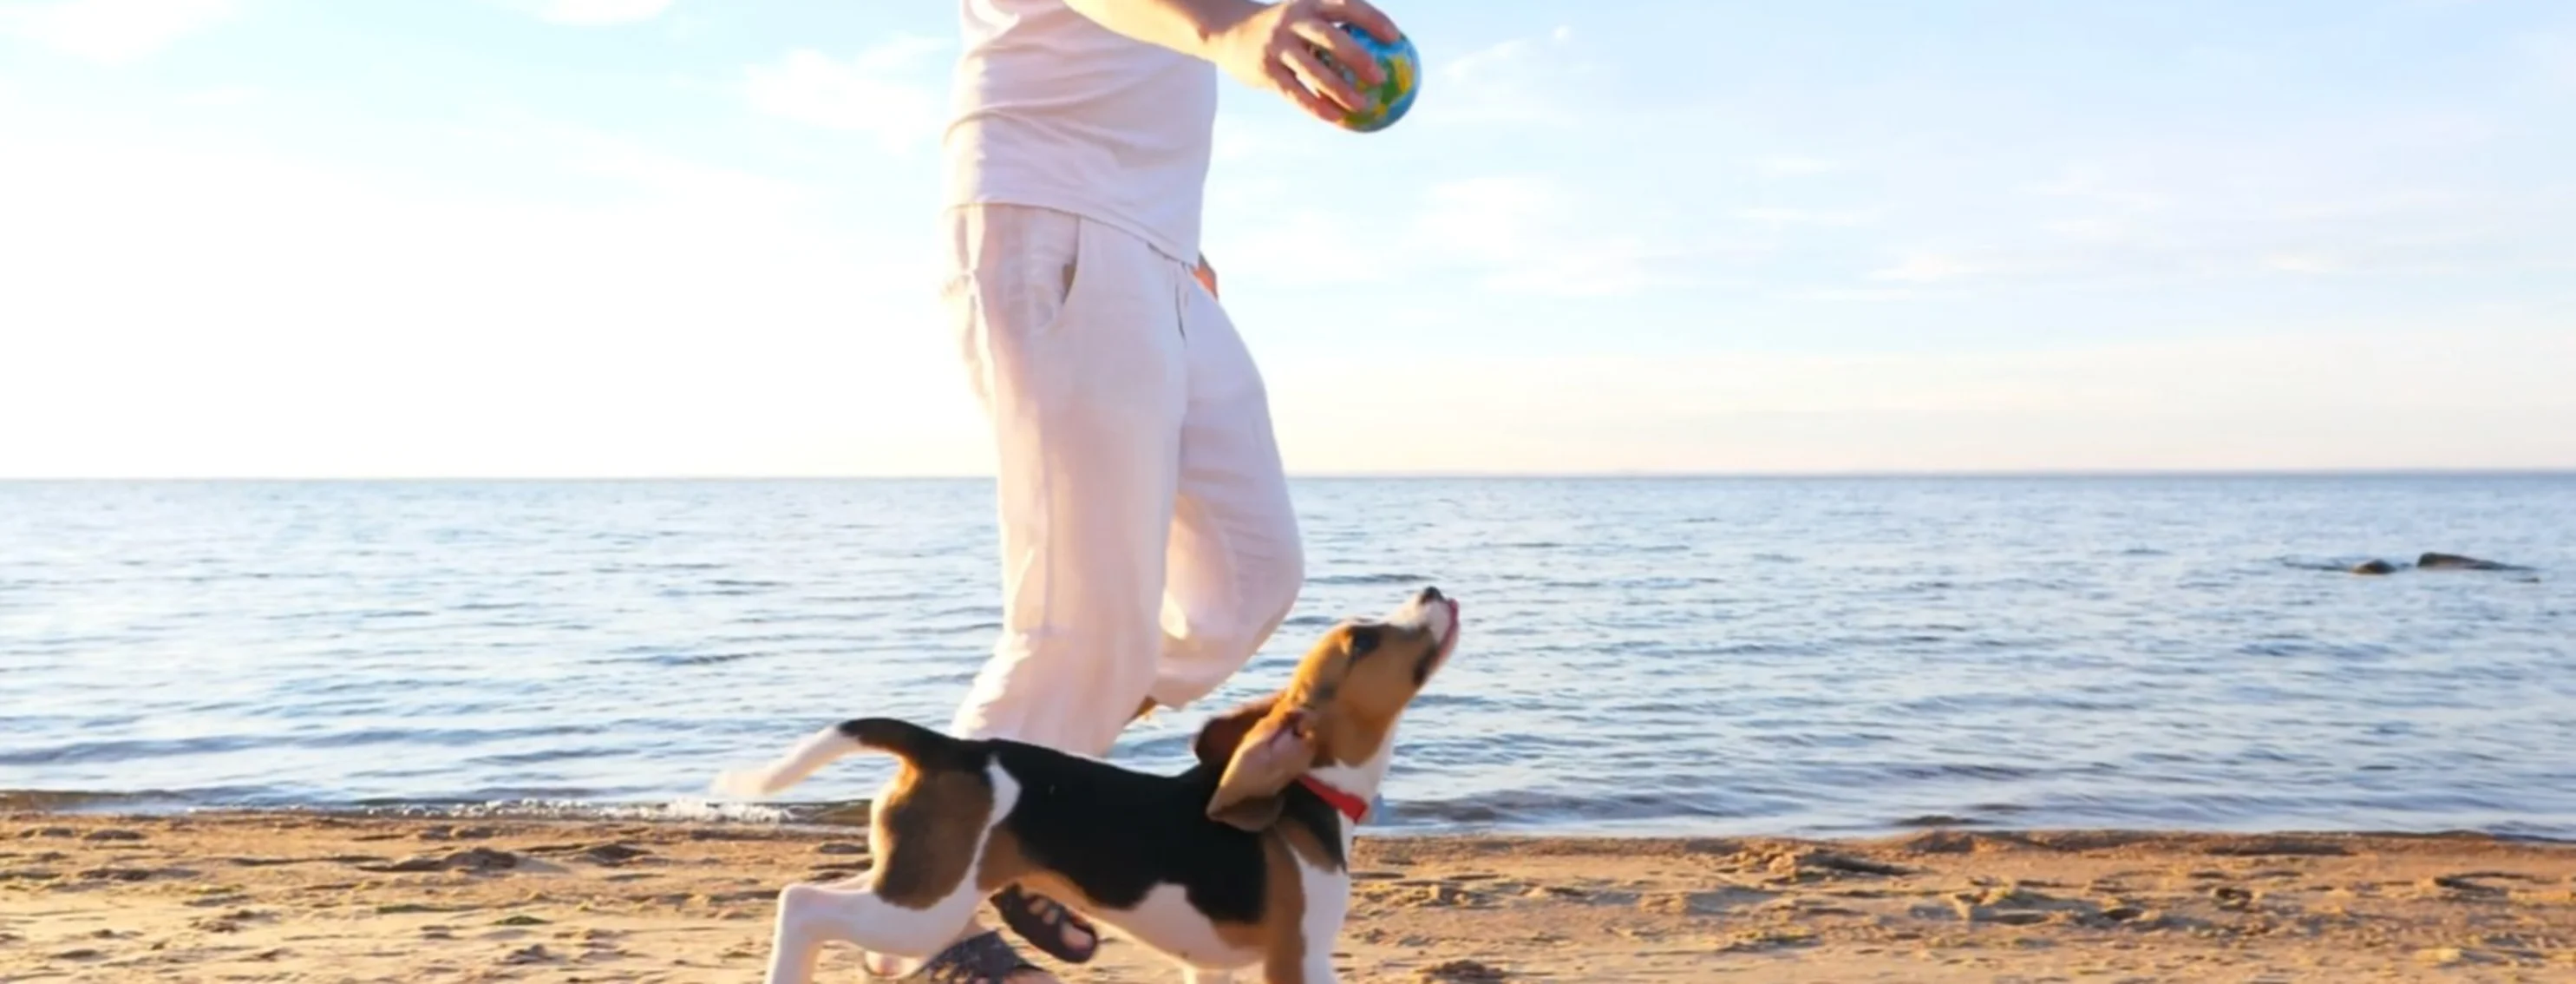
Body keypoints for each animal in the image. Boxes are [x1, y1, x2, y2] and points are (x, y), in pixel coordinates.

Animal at [716, 587, 1462, 979]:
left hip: (918, 884)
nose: (1430, 592)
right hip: (923, 904)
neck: (1311, 792)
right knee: (801, 904)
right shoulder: (1299, 958)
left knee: (815, 902)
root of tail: (948, 749)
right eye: (1362, 642)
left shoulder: (1213, 966)